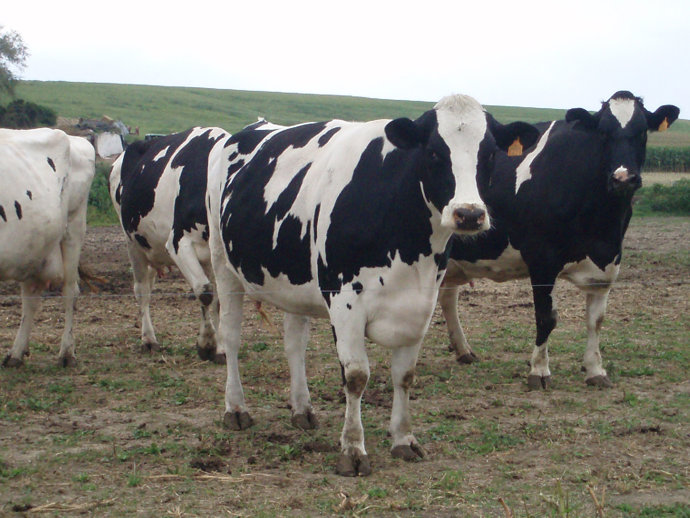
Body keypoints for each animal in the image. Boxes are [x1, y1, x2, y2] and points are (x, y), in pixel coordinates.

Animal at [1, 128, 95, 367]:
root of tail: (75, 138)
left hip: (73, 227)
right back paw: (16, 353)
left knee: (70, 290)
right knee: (30, 297)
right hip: (33, 247)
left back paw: (67, 353)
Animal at [109, 126, 230, 362]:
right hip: (132, 243)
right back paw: (148, 339)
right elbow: (205, 292)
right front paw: (206, 344)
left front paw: (220, 348)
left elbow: (219, 299)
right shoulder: (178, 243)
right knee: (141, 290)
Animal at [206, 94, 539, 476]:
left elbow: (405, 375)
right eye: (433, 152)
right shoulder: (345, 301)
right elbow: (356, 377)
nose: (469, 214)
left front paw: (404, 439)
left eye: (491, 154)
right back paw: (236, 409)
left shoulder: (420, 305)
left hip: (294, 280)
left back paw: (302, 409)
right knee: (232, 336)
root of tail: (250, 129)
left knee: (294, 345)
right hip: (223, 264)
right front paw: (353, 449)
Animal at [439, 91, 680, 389]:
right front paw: (539, 371)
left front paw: (595, 370)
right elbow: (546, 317)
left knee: (447, 297)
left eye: (642, 131)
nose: (623, 178)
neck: (602, 225)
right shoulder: (542, 259)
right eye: (603, 133)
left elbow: (595, 320)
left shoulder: (607, 264)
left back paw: (463, 350)